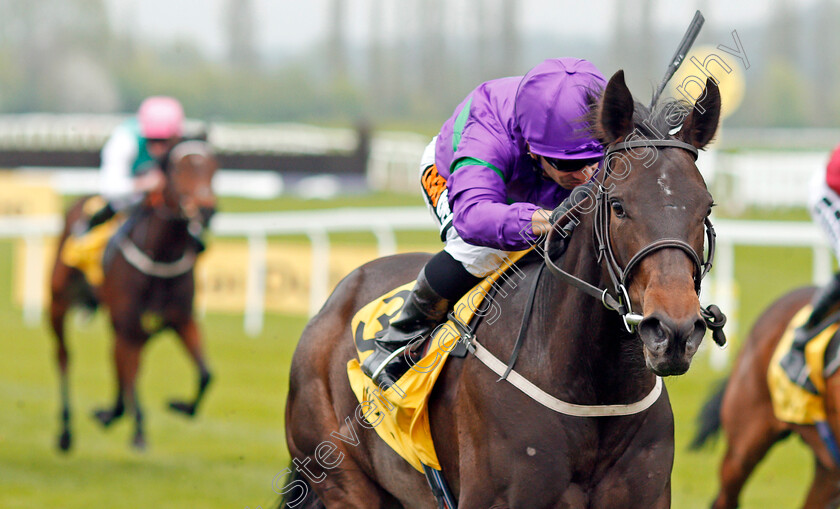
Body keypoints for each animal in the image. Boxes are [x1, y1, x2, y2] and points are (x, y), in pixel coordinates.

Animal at [47, 138, 218, 448]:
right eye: (178, 168)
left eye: (215, 166)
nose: (207, 210)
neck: (160, 253)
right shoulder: (128, 322)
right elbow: (131, 372)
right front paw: (138, 429)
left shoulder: (180, 319)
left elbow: (205, 374)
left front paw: (180, 406)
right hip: (58, 303)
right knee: (64, 356)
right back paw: (66, 430)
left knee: (121, 360)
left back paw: (110, 413)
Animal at [282, 71, 720, 508]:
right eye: (618, 206)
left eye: (706, 207)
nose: (674, 331)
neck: (595, 396)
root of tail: (337, 298)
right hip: (343, 478)